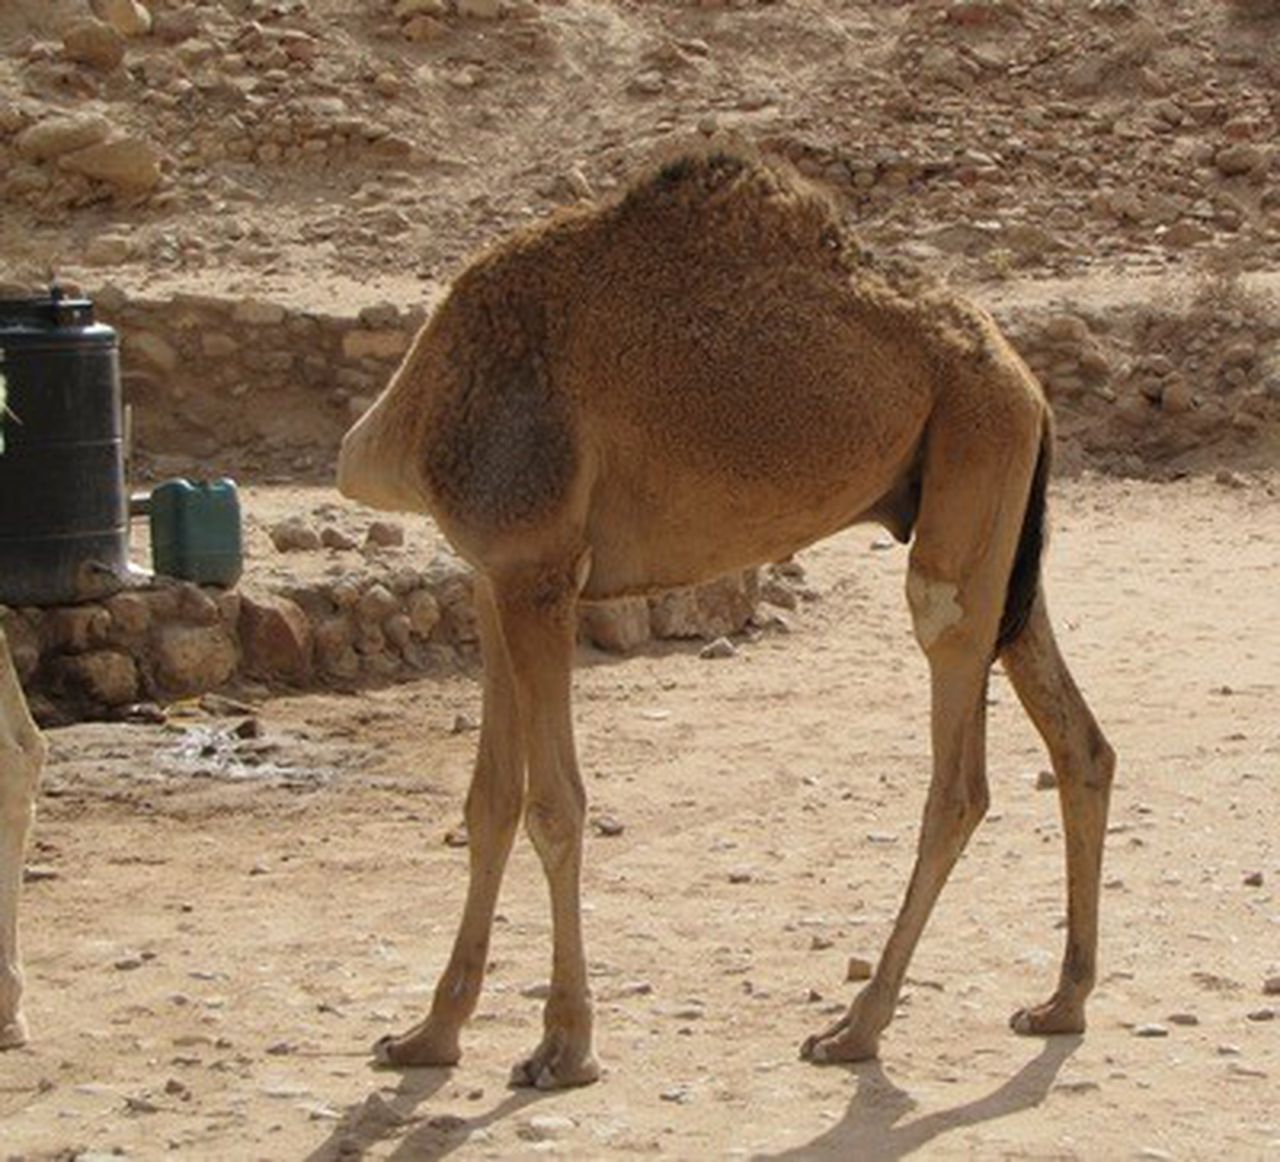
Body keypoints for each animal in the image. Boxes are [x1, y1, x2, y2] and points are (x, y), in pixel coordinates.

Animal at [335, 147, 1116, 1090]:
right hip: (999, 525)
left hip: (971, 466)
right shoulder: (494, 576)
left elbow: (554, 806)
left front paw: (564, 1045)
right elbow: (489, 801)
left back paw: (856, 1027)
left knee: (958, 769)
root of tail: (1026, 379)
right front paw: (428, 1034)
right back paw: (1061, 1001)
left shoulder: (536, 567)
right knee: (1081, 742)